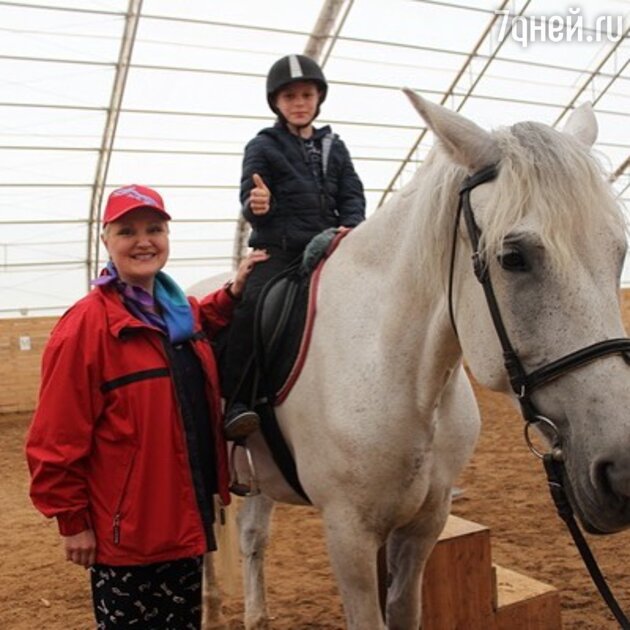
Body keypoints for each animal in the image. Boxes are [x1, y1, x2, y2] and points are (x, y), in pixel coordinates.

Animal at [194, 94, 630, 630]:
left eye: (617, 253)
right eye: (513, 257)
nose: (624, 469)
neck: (400, 375)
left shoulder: (425, 524)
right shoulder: (349, 534)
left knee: (252, 537)